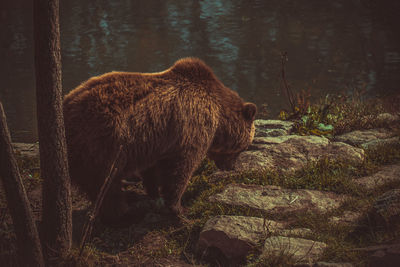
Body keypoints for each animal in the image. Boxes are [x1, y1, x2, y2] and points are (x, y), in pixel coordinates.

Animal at [62, 58, 256, 226]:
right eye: (243, 147)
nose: (231, 167)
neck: (219, 118)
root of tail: (66, 107)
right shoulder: (191, 130)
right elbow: (181, 169)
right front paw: (179, 208)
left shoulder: (153, 142)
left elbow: (152, 170)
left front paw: (154, 193)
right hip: (102, 144)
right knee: (107, 188)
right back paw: (125, 215)